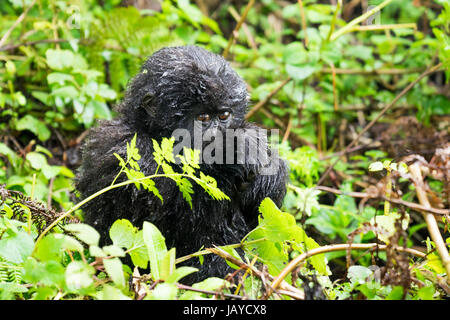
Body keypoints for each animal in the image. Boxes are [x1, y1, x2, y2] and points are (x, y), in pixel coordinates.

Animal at [75, 45, 286, 282]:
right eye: (202, 118)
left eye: (224, 115)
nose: (218, 135)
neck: (150, 131)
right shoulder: (124, 150)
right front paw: (235, 148)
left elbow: (260, 216)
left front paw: (267, 168)